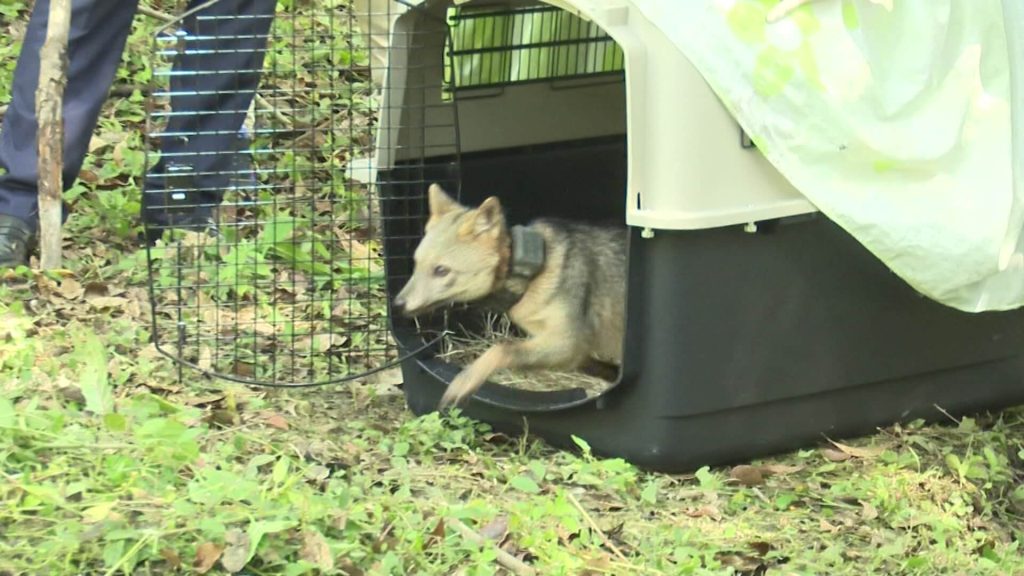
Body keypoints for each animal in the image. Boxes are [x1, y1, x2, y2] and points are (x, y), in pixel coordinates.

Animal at [392, 183, 627, 409]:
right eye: (416, 264)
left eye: (441, 271)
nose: (397, 305)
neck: (533, 272)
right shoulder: (568, 349)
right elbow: (595, 366)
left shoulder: (568, 342)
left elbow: (501, 349)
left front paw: (464, 381)